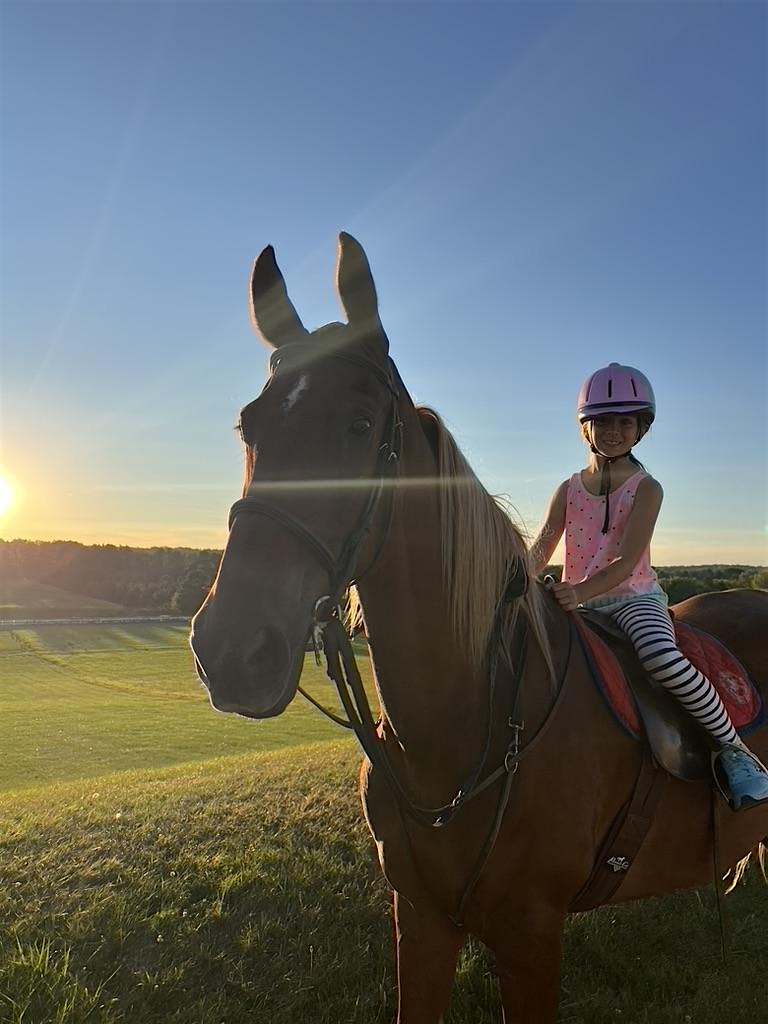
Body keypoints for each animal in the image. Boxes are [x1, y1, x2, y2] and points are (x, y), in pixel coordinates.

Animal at [188, 234, 768, 1024]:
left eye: (361, 424)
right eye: (249, 424)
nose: (229, 650)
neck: (465, 730)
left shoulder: (531, 937)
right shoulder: (420, 922)